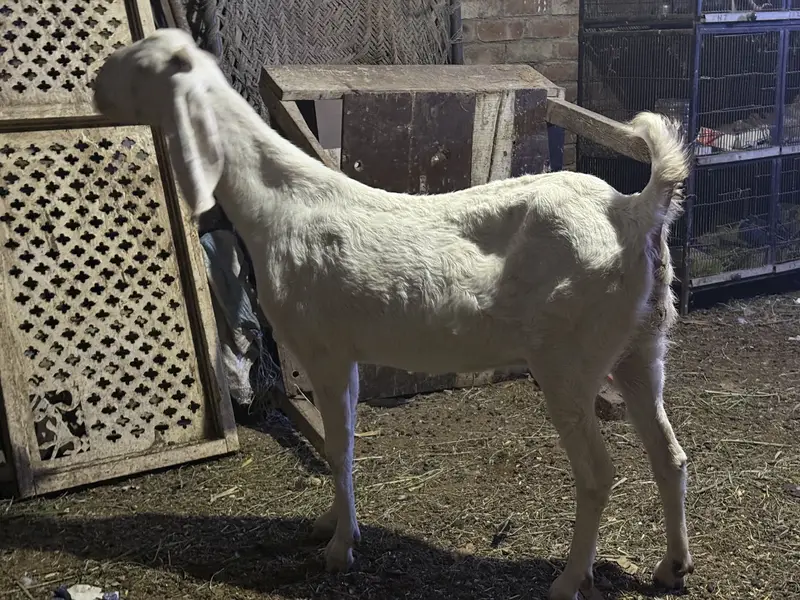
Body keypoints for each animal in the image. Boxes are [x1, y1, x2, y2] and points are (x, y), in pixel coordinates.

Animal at [93, 29, 693, 600]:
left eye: (141, 65)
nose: (96, 89)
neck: (280, 205)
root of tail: (634, 210)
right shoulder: (347, 354)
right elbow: (345, 441)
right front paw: (332, 523)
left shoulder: (322, 348)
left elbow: (336, 448)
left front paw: (339, 550)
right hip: (642, 346)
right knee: (670, 456)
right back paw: (672, 567)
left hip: (569, 357)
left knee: (598, 474)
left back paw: (569, 581)